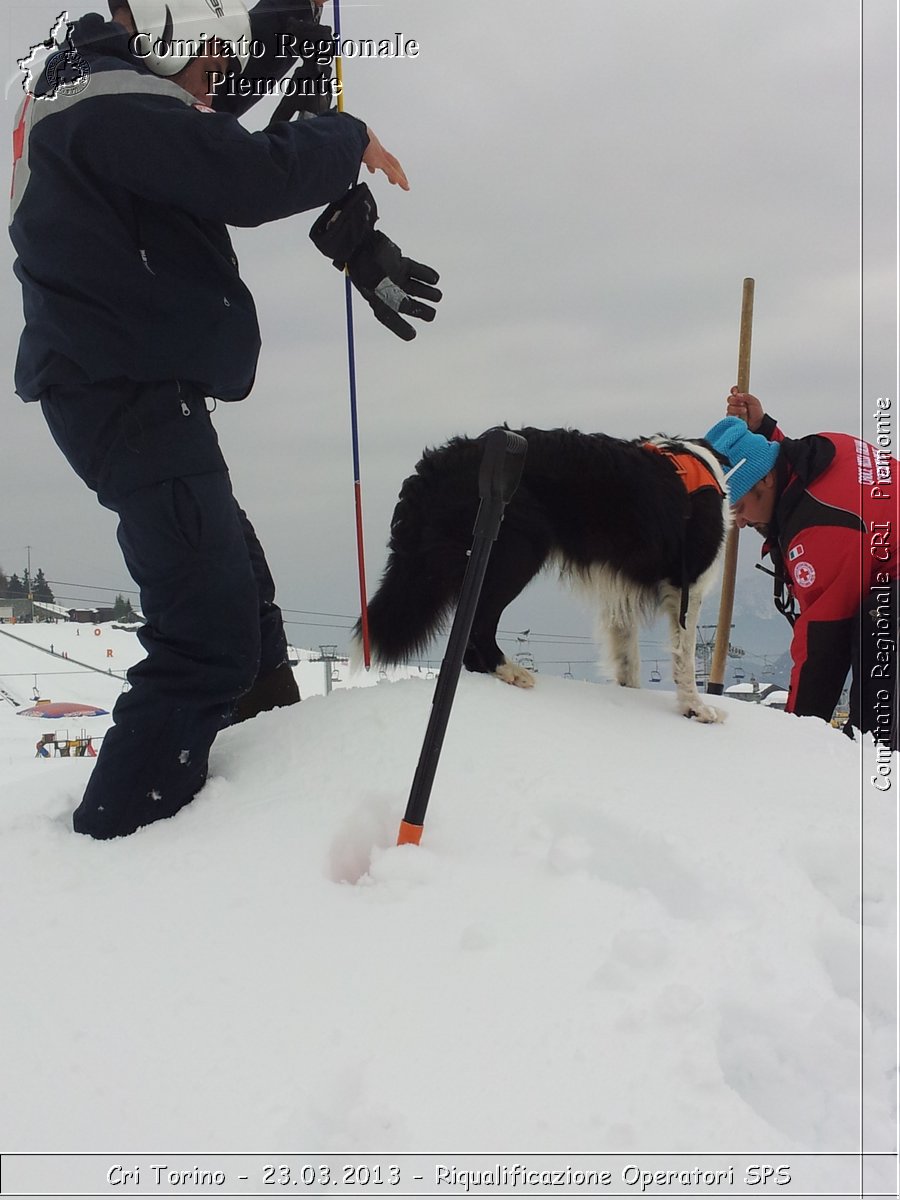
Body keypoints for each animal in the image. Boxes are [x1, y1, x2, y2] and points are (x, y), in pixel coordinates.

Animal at [360, 424, 734, 720]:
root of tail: (441, 462)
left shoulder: (619, 597)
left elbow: (628, 660)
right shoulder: (687, 585)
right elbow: (685, 655)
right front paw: (695, 708)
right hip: (517, 551)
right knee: (477, 625)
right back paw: (511, 671)